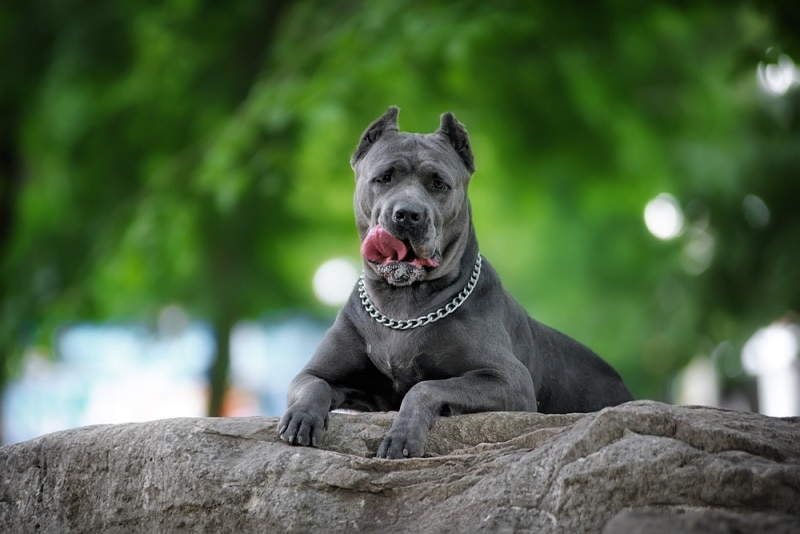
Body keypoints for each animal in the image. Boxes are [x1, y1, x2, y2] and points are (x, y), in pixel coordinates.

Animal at [278, 107, 636, 458]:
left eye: (438, 183)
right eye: (384, 177)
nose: (408, 214)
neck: (402, 307)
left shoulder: (510, 380)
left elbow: (425, 387)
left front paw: (403, 435)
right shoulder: (317, 372)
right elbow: (314, 384)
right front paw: (302, 416)